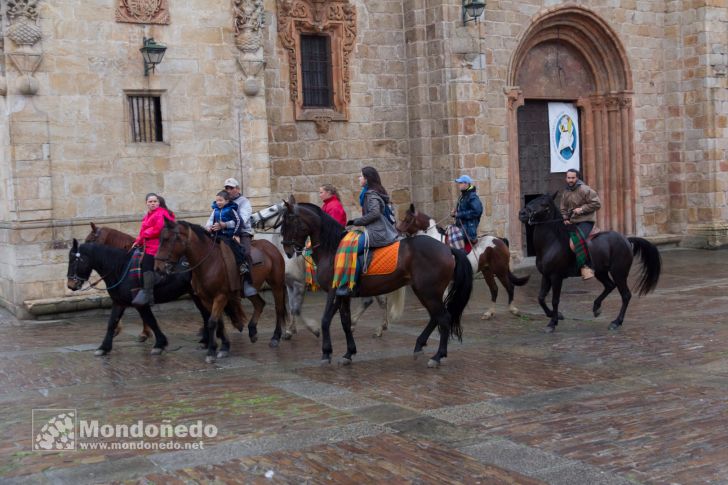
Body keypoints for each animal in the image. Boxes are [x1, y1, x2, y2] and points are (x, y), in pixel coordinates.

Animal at [155, 219, 288, 364]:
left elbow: (212, 322)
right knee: (259, 303)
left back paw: (275, 337)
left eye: (167, 239)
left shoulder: (221, 296)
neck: (208, 262)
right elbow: (218, 322)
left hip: (276, 284)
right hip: (248, 290)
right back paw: (252, 331)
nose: (158, 268)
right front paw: (224, 347)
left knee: (279, 308)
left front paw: (212, 351)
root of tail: (271, 246)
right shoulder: (206, 298)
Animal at [252, 200, 404, 336]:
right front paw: (290, 329)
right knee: (377, 301)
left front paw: (314, 329)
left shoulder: (299, 284)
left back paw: (373, 327)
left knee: (376, 301)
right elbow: (292, 307)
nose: (252, 218)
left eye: (272, 209)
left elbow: (296, 309)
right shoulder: (289, 284)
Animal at [278, 197, 472, 366]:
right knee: (435, 317)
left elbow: (326, 320)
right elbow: (345, 322)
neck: (332, 248)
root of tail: (448, 249)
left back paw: (437, 356)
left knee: (443, 318)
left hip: (428, 291)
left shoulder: (334, 291)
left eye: (288, 222)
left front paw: (326, 352)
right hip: (425, 291)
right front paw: (348, 353)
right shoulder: (344, 294)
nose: (287, 250)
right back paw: (419, 345)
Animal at [398, 203, 528, 320]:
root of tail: (499, 240)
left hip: (500, 270)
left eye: (407, 219)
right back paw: (489, 313)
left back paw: (513, 310)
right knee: (494, 289)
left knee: (509, 287)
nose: (398, 230)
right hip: (487, 270)